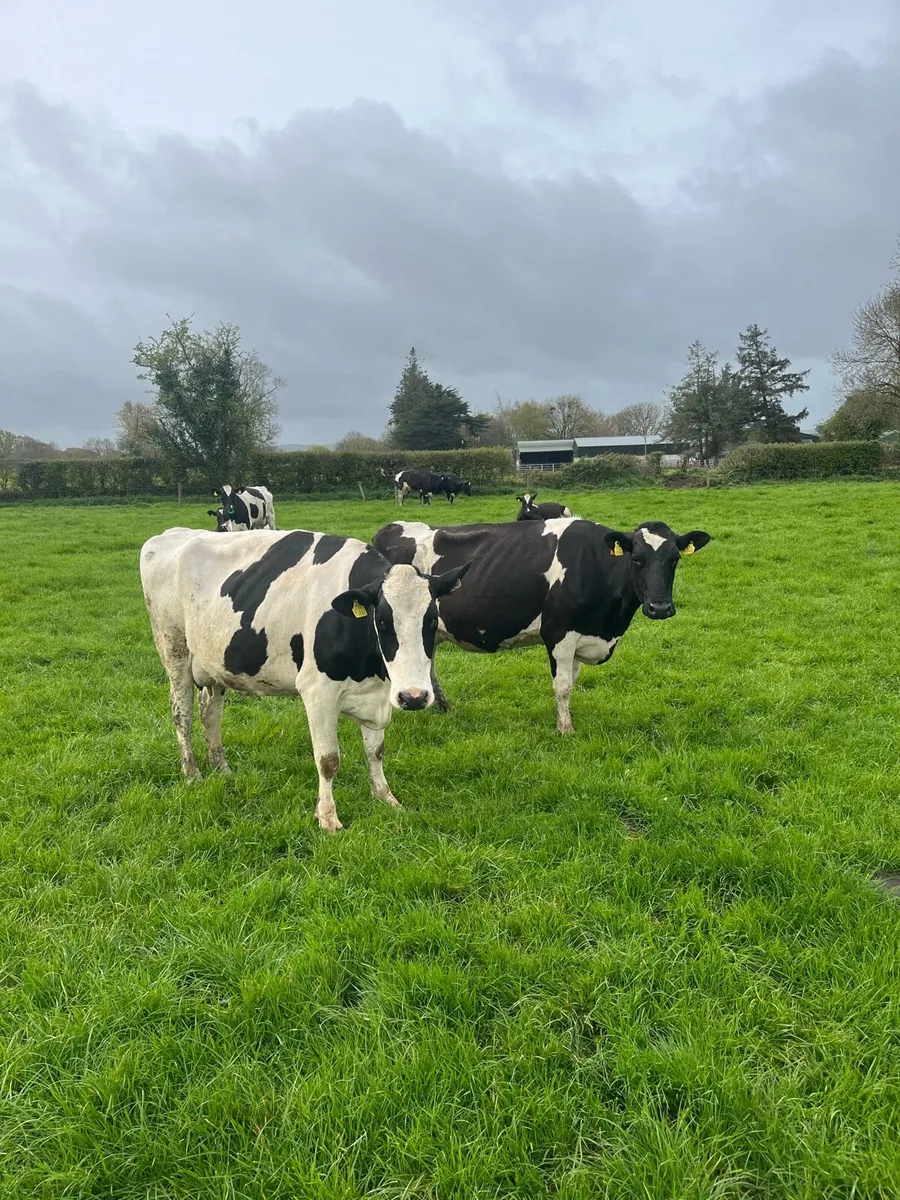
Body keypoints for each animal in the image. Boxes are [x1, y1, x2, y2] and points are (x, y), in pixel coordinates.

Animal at [140, 526, 471, 831]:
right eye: (382, 621)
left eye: (432, 620)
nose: (414, 697)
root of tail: (171, 533)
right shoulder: (318, 692)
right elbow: (328, 760)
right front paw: (328, 818)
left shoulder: (377, 694)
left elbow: (375, 752)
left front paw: (385, 798)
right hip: (173, 649)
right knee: (181, 713)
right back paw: (192, 773)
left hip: (215, 664)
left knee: (210, 713)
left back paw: (221, 768)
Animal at [373, 517, 710, 735]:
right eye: (637, 559)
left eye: (675, 559)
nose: (660, 607)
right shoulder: (559, 635)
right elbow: (562, 686)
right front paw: (565, 730)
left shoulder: (581, 637)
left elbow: (572, 682)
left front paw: (565, 718)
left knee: (427, 664)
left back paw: (444, 706)